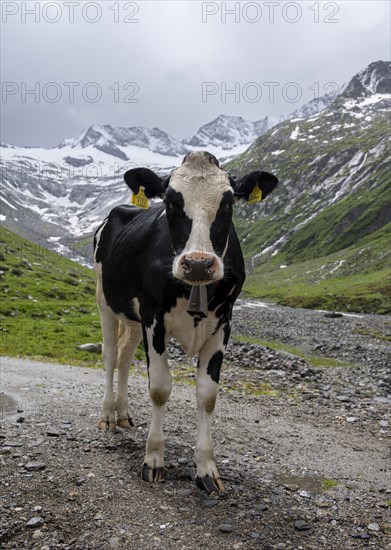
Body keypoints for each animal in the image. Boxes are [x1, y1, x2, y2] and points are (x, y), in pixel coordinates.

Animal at [94, 152, 278, 496]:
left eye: (228, 202)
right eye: (169, 201)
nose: (198, 264)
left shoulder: (224, 323)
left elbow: (207, 395)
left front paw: (207, 468)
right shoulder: (153, 317)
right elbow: (159, 388)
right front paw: (153, 459)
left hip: (133, 320)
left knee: (125, 359)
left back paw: (123, 415)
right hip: (105, 303)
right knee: (111, 357)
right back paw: (107, 416)